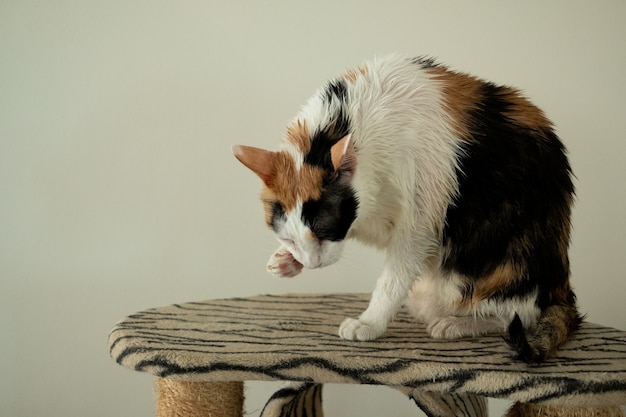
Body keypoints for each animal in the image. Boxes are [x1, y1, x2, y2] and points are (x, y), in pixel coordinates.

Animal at [233, 54, 580, 360]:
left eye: (324, 229)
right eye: (287, 237)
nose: (312, 264)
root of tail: (562, 286)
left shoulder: (421, 219)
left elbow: (394, 276)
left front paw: (369, 323)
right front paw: (285, 261)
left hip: (499, 268)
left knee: (518, 315)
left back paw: (455, 324)